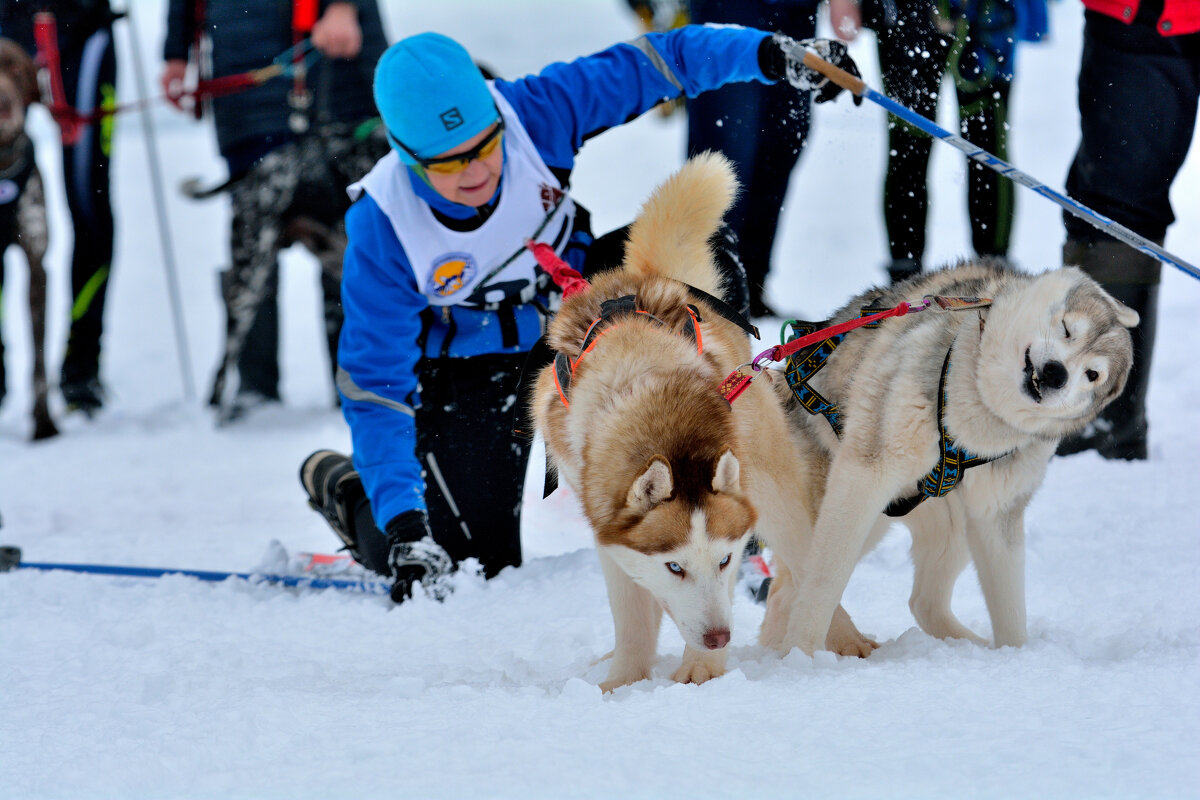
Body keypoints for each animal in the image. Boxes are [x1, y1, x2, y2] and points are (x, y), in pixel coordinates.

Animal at [535, 153, 844, 690]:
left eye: (723, 560)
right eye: (675, 567)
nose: (719, 638)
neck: (660, 404)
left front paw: (702, 671)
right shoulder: (609, 531)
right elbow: (633, 617)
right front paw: (621, 683)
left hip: (773, 488)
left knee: (806, 559)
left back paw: (843, 639)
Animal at [763, 262, 1137, 657]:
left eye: (1092, 374)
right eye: (1067, 329)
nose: (1056, 373)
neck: (978, 410)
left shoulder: (997, 513)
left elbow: (1011, 608)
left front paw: (1017, 657)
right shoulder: (866, 475)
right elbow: (823, 581)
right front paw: (801, 655)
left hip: (951, 526)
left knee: (922, 601)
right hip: (843, 511)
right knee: (795, 581)